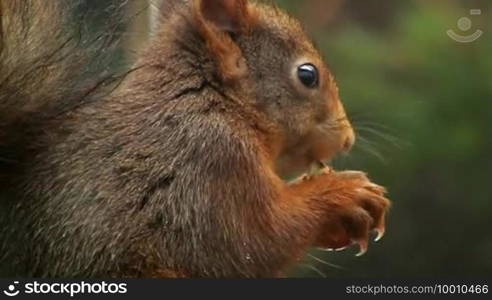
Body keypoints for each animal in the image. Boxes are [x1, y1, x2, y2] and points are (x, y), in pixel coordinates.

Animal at [0, 0, 392, 276]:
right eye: (307, 75)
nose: (347, 140)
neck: (216, 101)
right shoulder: (211, 162)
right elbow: (258, 240)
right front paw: (344, 195)